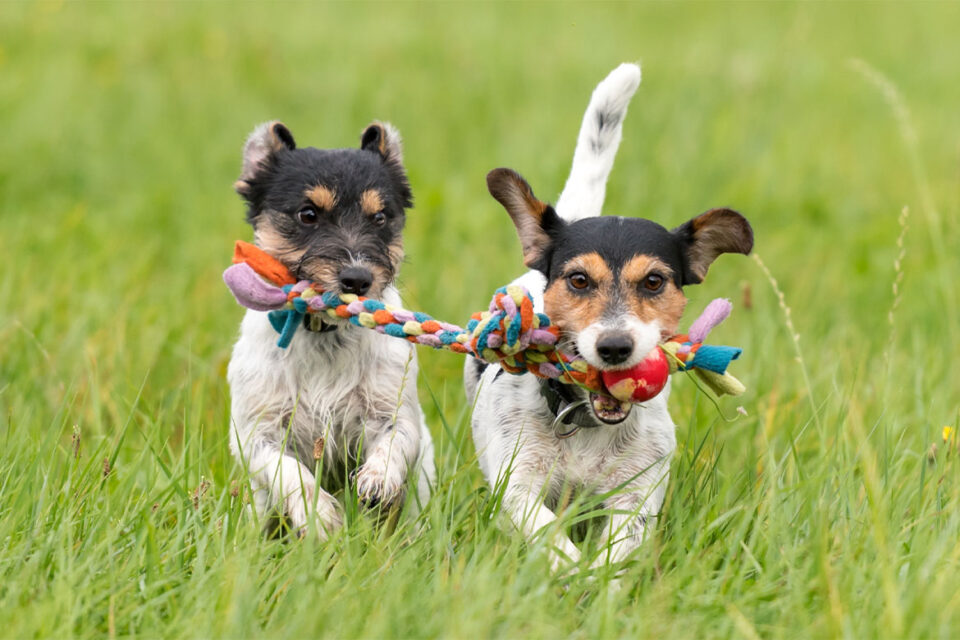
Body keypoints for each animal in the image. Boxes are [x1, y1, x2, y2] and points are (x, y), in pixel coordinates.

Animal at [225, 120, 436, 540]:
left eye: (380, 218)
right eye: (308, 214)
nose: (358, 279)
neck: (324, 334)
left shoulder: (393, 413)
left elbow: (395, 443)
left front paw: (377, 480)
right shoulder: (256, 432)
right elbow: (289, 472)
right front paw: (320, 515)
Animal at [466, 62, 756, 568]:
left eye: (654, 281)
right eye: (579, 280)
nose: (615, 347)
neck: (585, 424)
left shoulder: (637, 493)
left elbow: (617, 549)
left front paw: (599, 579)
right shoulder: (517, 486)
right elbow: (549, 536)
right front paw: (572, 573)